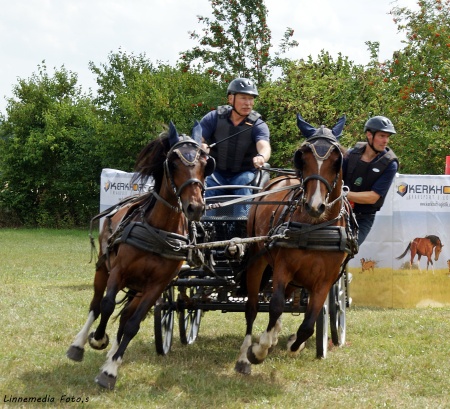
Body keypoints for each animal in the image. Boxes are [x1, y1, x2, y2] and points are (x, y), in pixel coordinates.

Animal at [66, 121, 215, 388]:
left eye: (205, 163)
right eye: (173, 163)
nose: (195, 208)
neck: (159, 230)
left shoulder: (157, 285)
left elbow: (132, 324)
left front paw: (110, 370)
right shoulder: (119, 271)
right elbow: (106, 305)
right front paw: (98, 338)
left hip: (138, 288)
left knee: (126, 316)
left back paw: (110, 357)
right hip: (103, 269)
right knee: (96, 303)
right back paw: (79, 344)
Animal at [236, 113, 358, 374]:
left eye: (337, 160)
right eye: (303, 157)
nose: (315, 205)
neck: (315, 227)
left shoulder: (325, 280)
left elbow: (309, 323)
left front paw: (294, 343)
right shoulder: (283, 267)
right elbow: (275, 305)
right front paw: (258, 351)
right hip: (258, 260)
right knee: (252, 308)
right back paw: (245, 354)